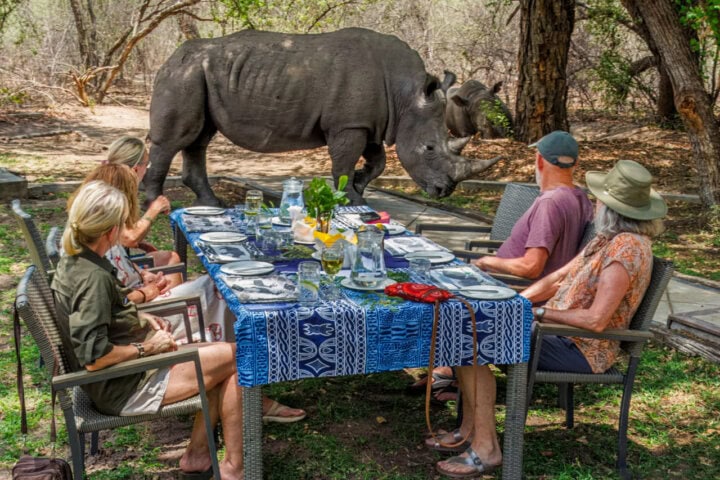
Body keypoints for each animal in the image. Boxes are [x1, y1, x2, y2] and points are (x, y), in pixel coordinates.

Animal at [146, 28, 500, 206]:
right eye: (428, 149)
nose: (445, 192)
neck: (406, 96)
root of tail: (170, 56)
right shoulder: (348, 125)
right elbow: (344, 161)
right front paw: (352, 200)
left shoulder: (370, 122)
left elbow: (378, 161)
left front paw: (359, 187)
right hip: (185, 73)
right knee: (176, 139)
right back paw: (155, 204)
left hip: (199, 75)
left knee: (199, 138)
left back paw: (212, 203)